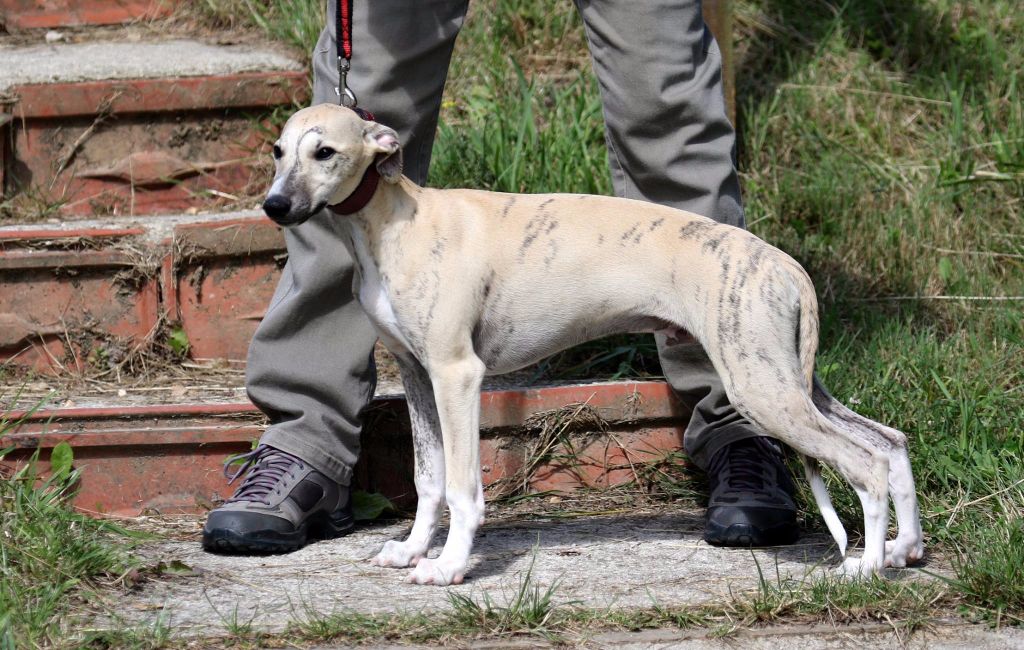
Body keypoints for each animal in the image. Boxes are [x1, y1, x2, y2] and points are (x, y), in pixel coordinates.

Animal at [260, 105, 925, 585]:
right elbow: (428, 480)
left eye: (325, 152)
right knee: (889, 443)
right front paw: (412, 550)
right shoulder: (418, 375)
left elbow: (461, 486)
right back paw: (903, 550)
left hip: (760, 387)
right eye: (277, 151)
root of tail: (786, 264)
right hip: (789, 378)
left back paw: (864, 567)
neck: (396, 221)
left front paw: (448, 567)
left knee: (864, 461)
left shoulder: (457, 373)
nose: (275, 205)